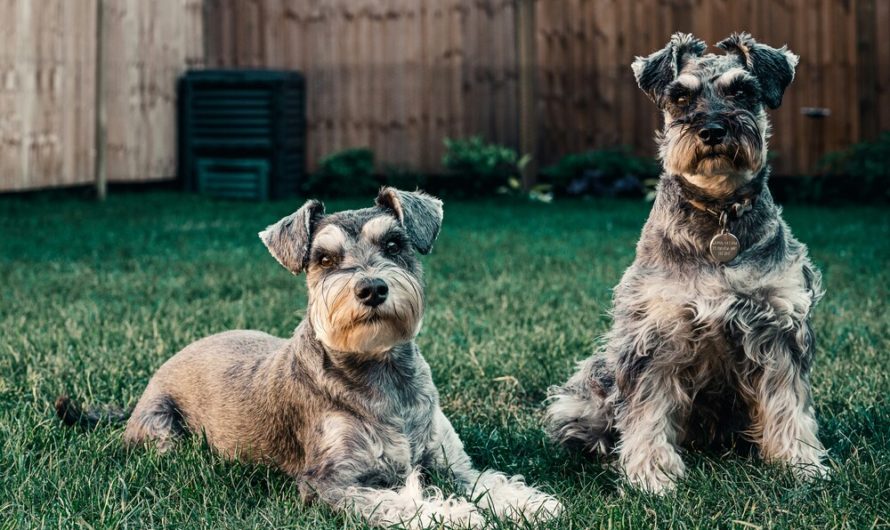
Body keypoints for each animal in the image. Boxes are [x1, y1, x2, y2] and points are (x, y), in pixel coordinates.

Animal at [55, 188, 560, 524]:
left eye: (394, 244)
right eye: (324, 259)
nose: (371, 288)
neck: (382, 374)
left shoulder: (451, 463)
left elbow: (488, 480)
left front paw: (531, 503)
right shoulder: (328, 483)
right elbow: (396, 501)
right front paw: (454, 516)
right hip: (164, 434)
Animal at [544, 35, 828, 492]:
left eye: (742, 92)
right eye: (680, 97)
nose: (712, 130)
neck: (719, 212)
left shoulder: (779, 328)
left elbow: (789, 403)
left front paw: (800, 464)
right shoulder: (655, 334)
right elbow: (647, 411)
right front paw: (651, 475)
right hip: (589, 387)